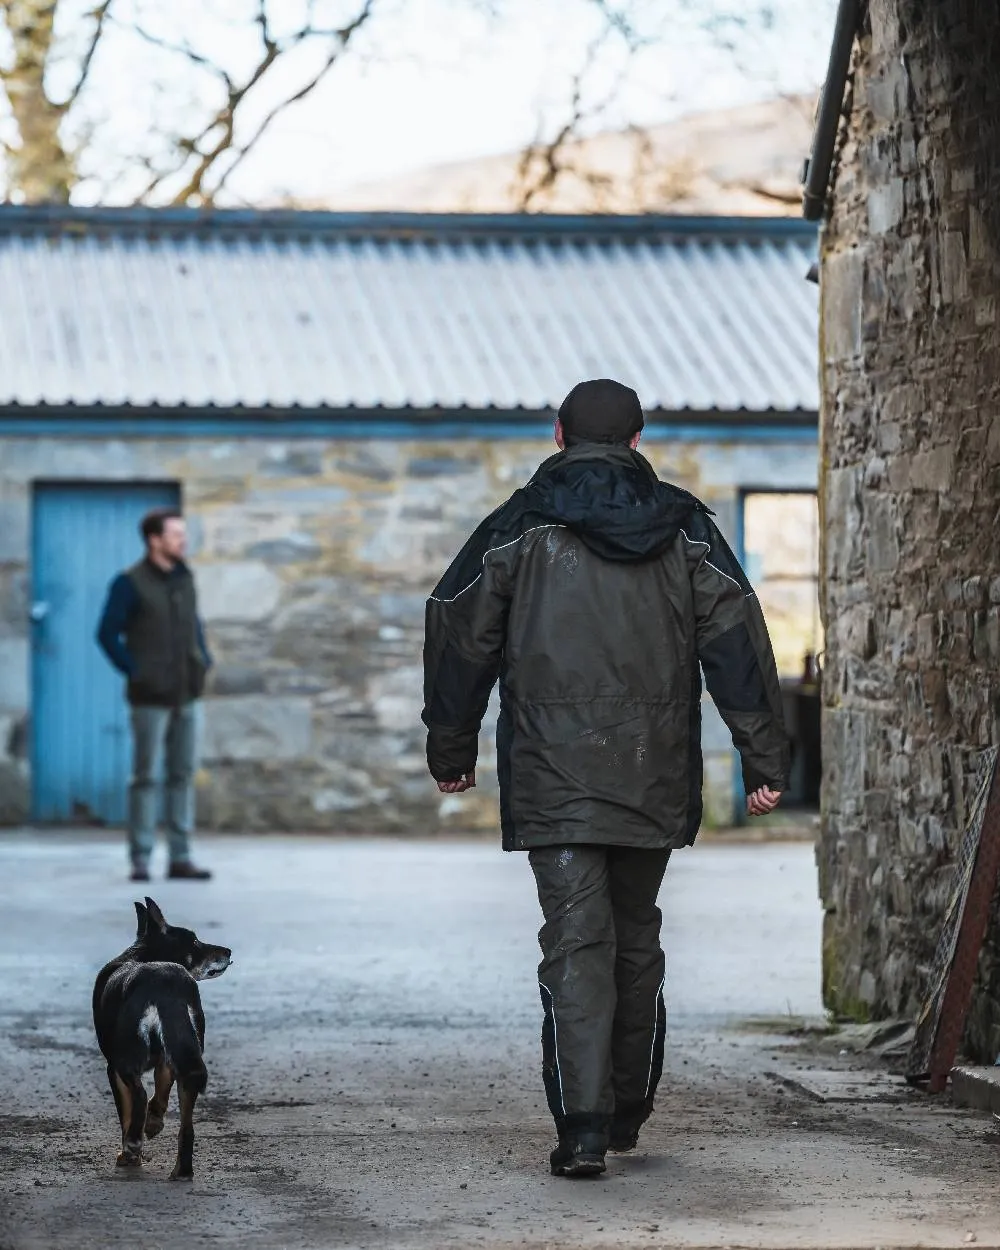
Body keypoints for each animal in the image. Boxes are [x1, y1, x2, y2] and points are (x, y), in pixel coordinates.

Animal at [92, 895, 231, 1175]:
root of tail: (165, 981)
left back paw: (133, 1145)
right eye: (195, 942)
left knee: (138, 1096)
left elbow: (126, 1110)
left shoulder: (113, 1068)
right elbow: (161, 1094)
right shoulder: (169, 1057)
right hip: (187, 1056)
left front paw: (130, 1153)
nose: (229, 952)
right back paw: (181, 1170)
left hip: (126, 1058)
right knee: (186, 1126)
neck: (141, 954)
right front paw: (154, 1123)